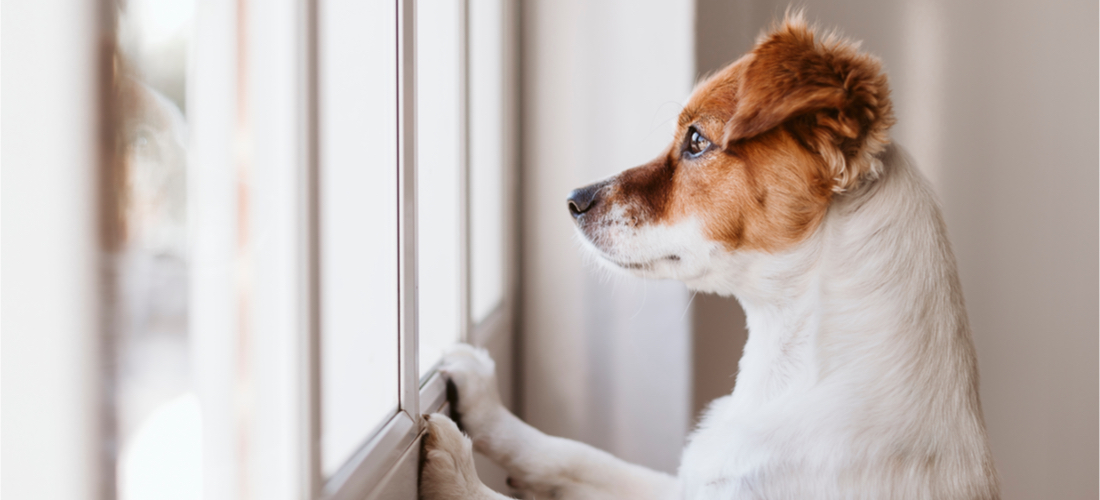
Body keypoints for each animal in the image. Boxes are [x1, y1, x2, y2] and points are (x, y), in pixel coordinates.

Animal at [418, 13, 998, 498]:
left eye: (696, 141)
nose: (573, 200)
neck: (791, 372)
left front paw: (458, 472)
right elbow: (579, 456)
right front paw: (486, 407)